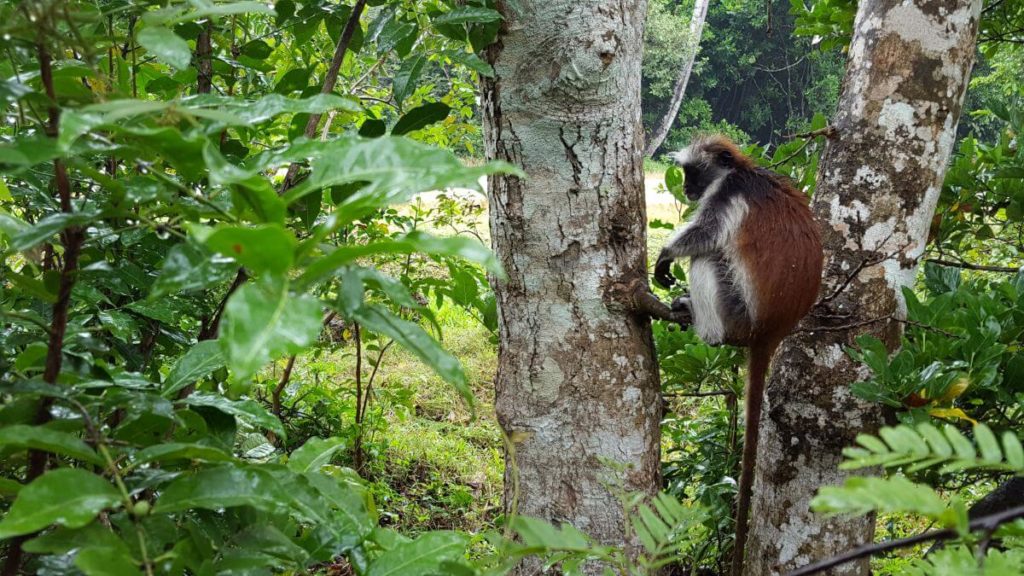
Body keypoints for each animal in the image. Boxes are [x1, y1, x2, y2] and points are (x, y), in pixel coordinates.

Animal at [655, 134, 823, 573]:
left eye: (693, 172)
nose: (687, 190)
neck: (744, 170)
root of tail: (772, 330)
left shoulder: (729, 193)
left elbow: (705, 234)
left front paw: (665, 255)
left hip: (736, 309)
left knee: (708, 257)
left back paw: (706, 328)